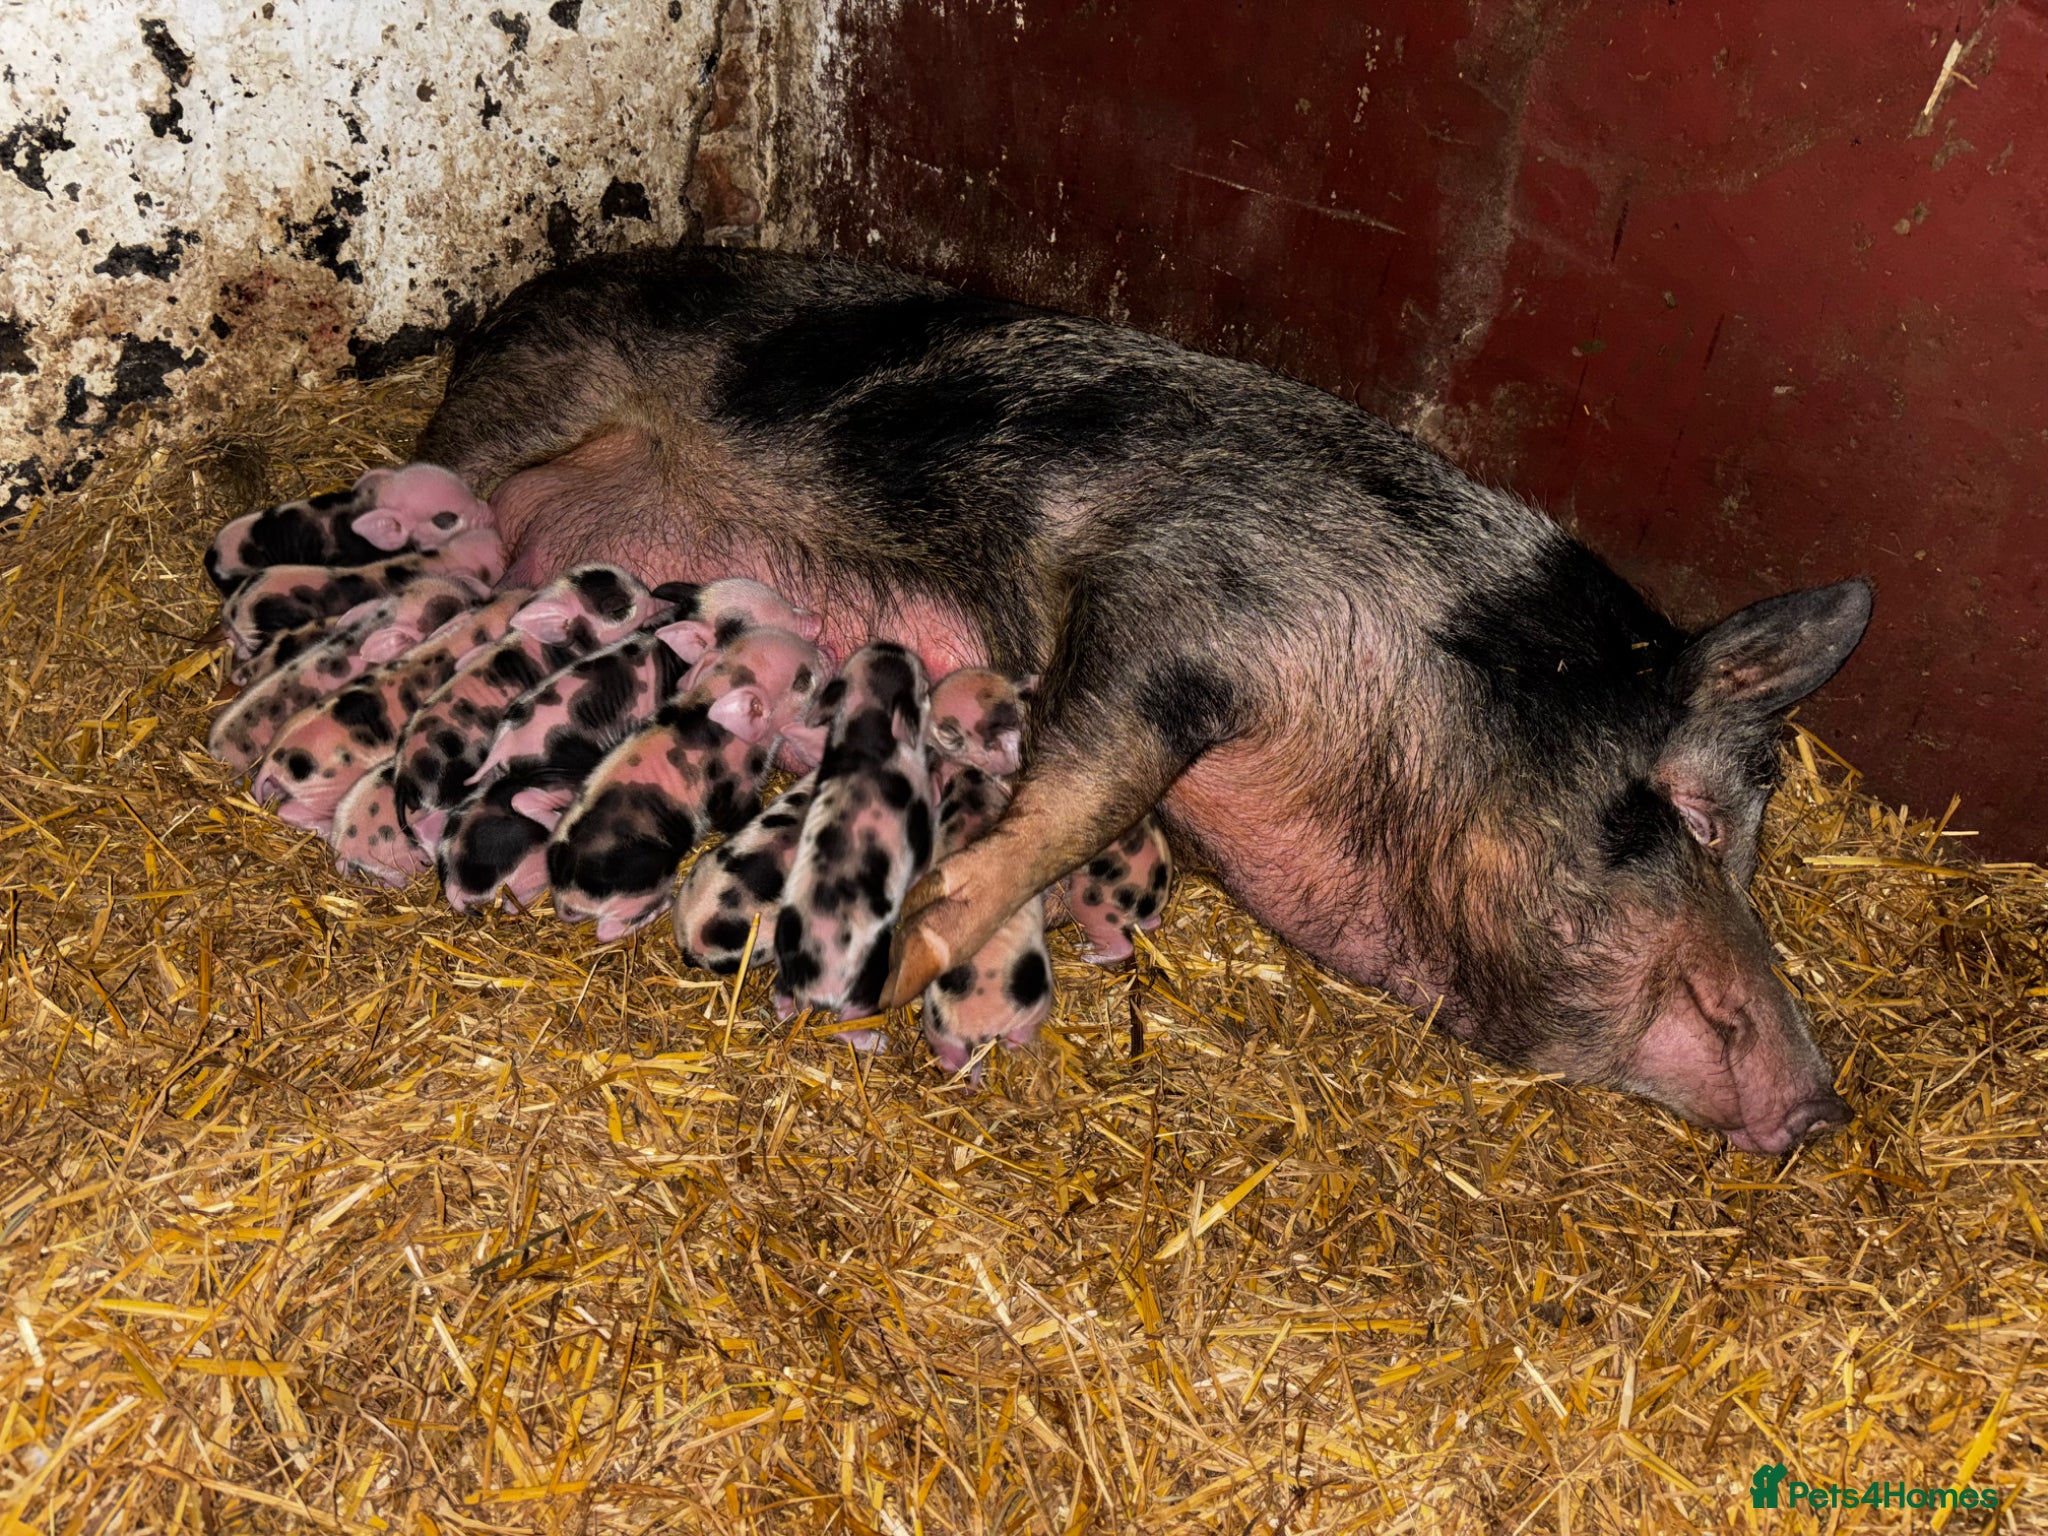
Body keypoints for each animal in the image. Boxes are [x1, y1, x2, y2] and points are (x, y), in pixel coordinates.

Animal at [251, 589, 530, 832]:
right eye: (516, 611)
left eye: (484, 600)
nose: (525, 593)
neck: (473, 629)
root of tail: (271, 762)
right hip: (323, 794)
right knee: (289, 811)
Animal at [547, 626, 829, 941]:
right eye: (802, 680)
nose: (825, 652)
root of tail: (563, 895)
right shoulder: (735, 784)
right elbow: (736, 815)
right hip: (640, 888)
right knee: (607, 930)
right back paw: (662, 906)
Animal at [771, 643, 935, 1023]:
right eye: (923, 687)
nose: (898, 644)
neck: (867, 733)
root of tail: (811, 983)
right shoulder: (920, 822)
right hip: (872, 964)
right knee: (853, 1013)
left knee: (781, 999)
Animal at [919, 766, 1052, 1079]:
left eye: (949, 791)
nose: (968, 770)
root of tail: (977, 1033)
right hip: (1033, 1008)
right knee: (1017, 1039)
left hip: (938, 1028)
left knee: (951, 1057)